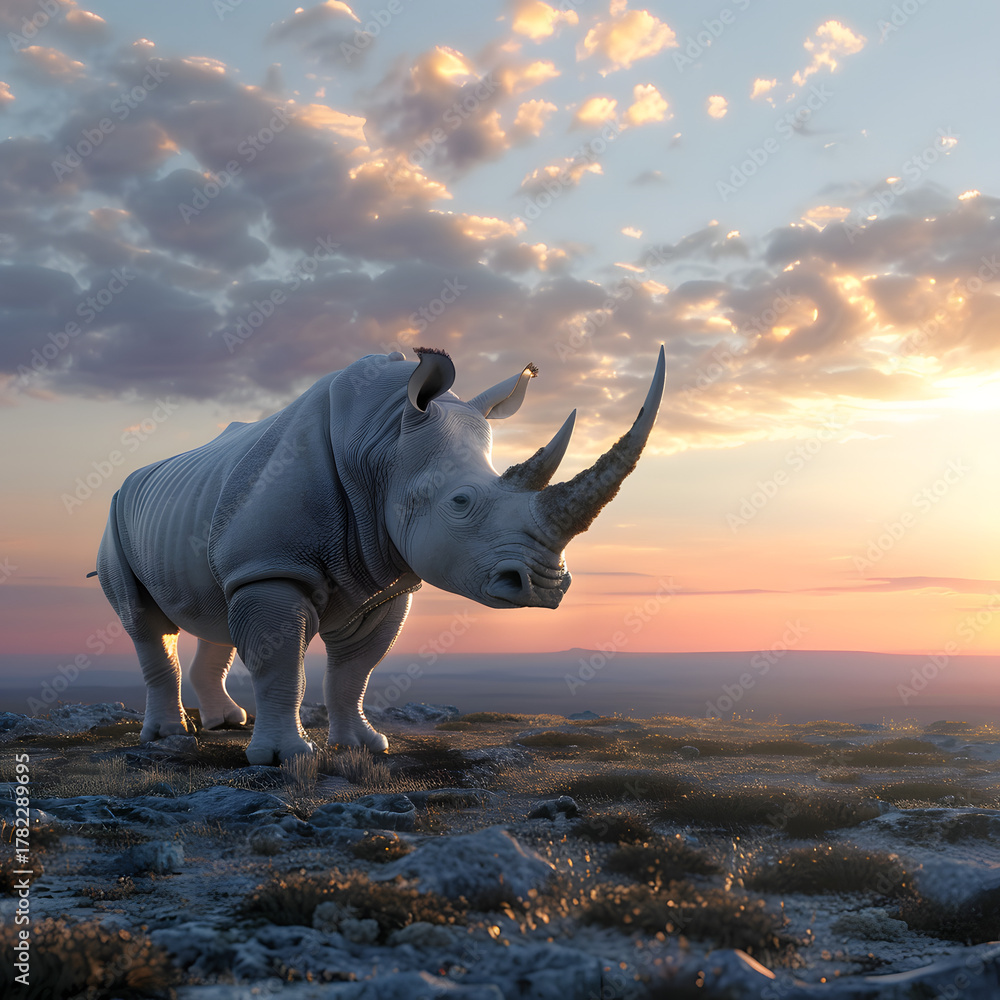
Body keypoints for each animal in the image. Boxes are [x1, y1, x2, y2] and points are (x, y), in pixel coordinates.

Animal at [97, 346, 664, 763]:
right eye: (460, 502)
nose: (545, 585)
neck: (383, 442)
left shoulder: (382, 580)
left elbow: (356, 669)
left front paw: (364, 746)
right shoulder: (275, 566)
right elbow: (280, 662)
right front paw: (283, 758)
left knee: (216, 609)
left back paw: (225, 723)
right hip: (117, 516)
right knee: (146, 623)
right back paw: (169, 736)